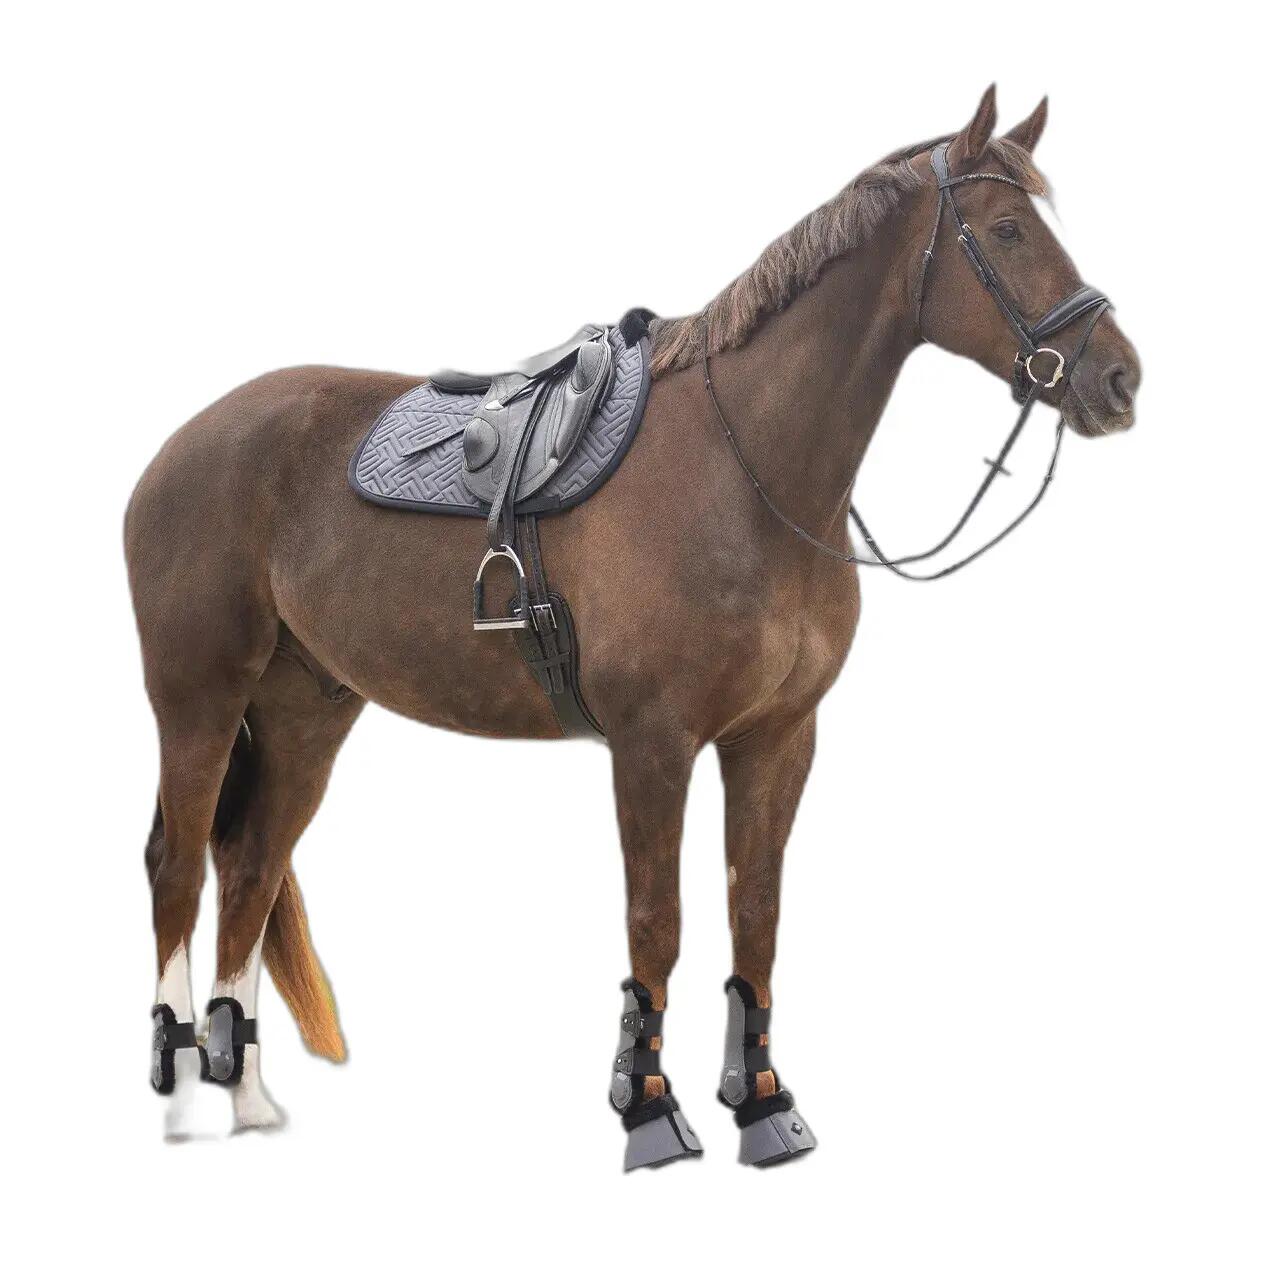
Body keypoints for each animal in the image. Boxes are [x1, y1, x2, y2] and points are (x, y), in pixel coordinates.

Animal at [125, 86, 1141, 1166]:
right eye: (1006, 228)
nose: (1119, 379)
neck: (743, 466)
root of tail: (180, 445)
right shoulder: (653, 743)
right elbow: (658, 921)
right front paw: (647, 1107)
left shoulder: (776, 738)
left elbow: (755, 915)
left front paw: (763, 1103)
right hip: (197, 698)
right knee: (178, 868)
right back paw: (181, 1094)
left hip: (305, 711)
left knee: (249, 867)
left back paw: (245, 1094)